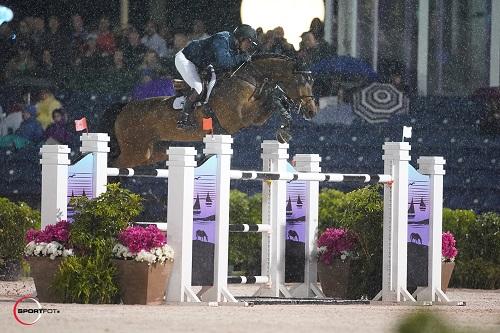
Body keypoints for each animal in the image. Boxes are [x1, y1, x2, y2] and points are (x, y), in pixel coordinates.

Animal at [102, 55, 316, 169]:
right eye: (301, 82)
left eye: (312, 81)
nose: (311, 111)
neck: (249, 79)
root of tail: (124, 108)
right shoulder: (240, 116)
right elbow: (271, 99)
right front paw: (284, 124)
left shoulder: (254, 116)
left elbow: (273, 103)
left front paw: (284, 128)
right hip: (135, 151)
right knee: (112, 164)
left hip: (151, 152)